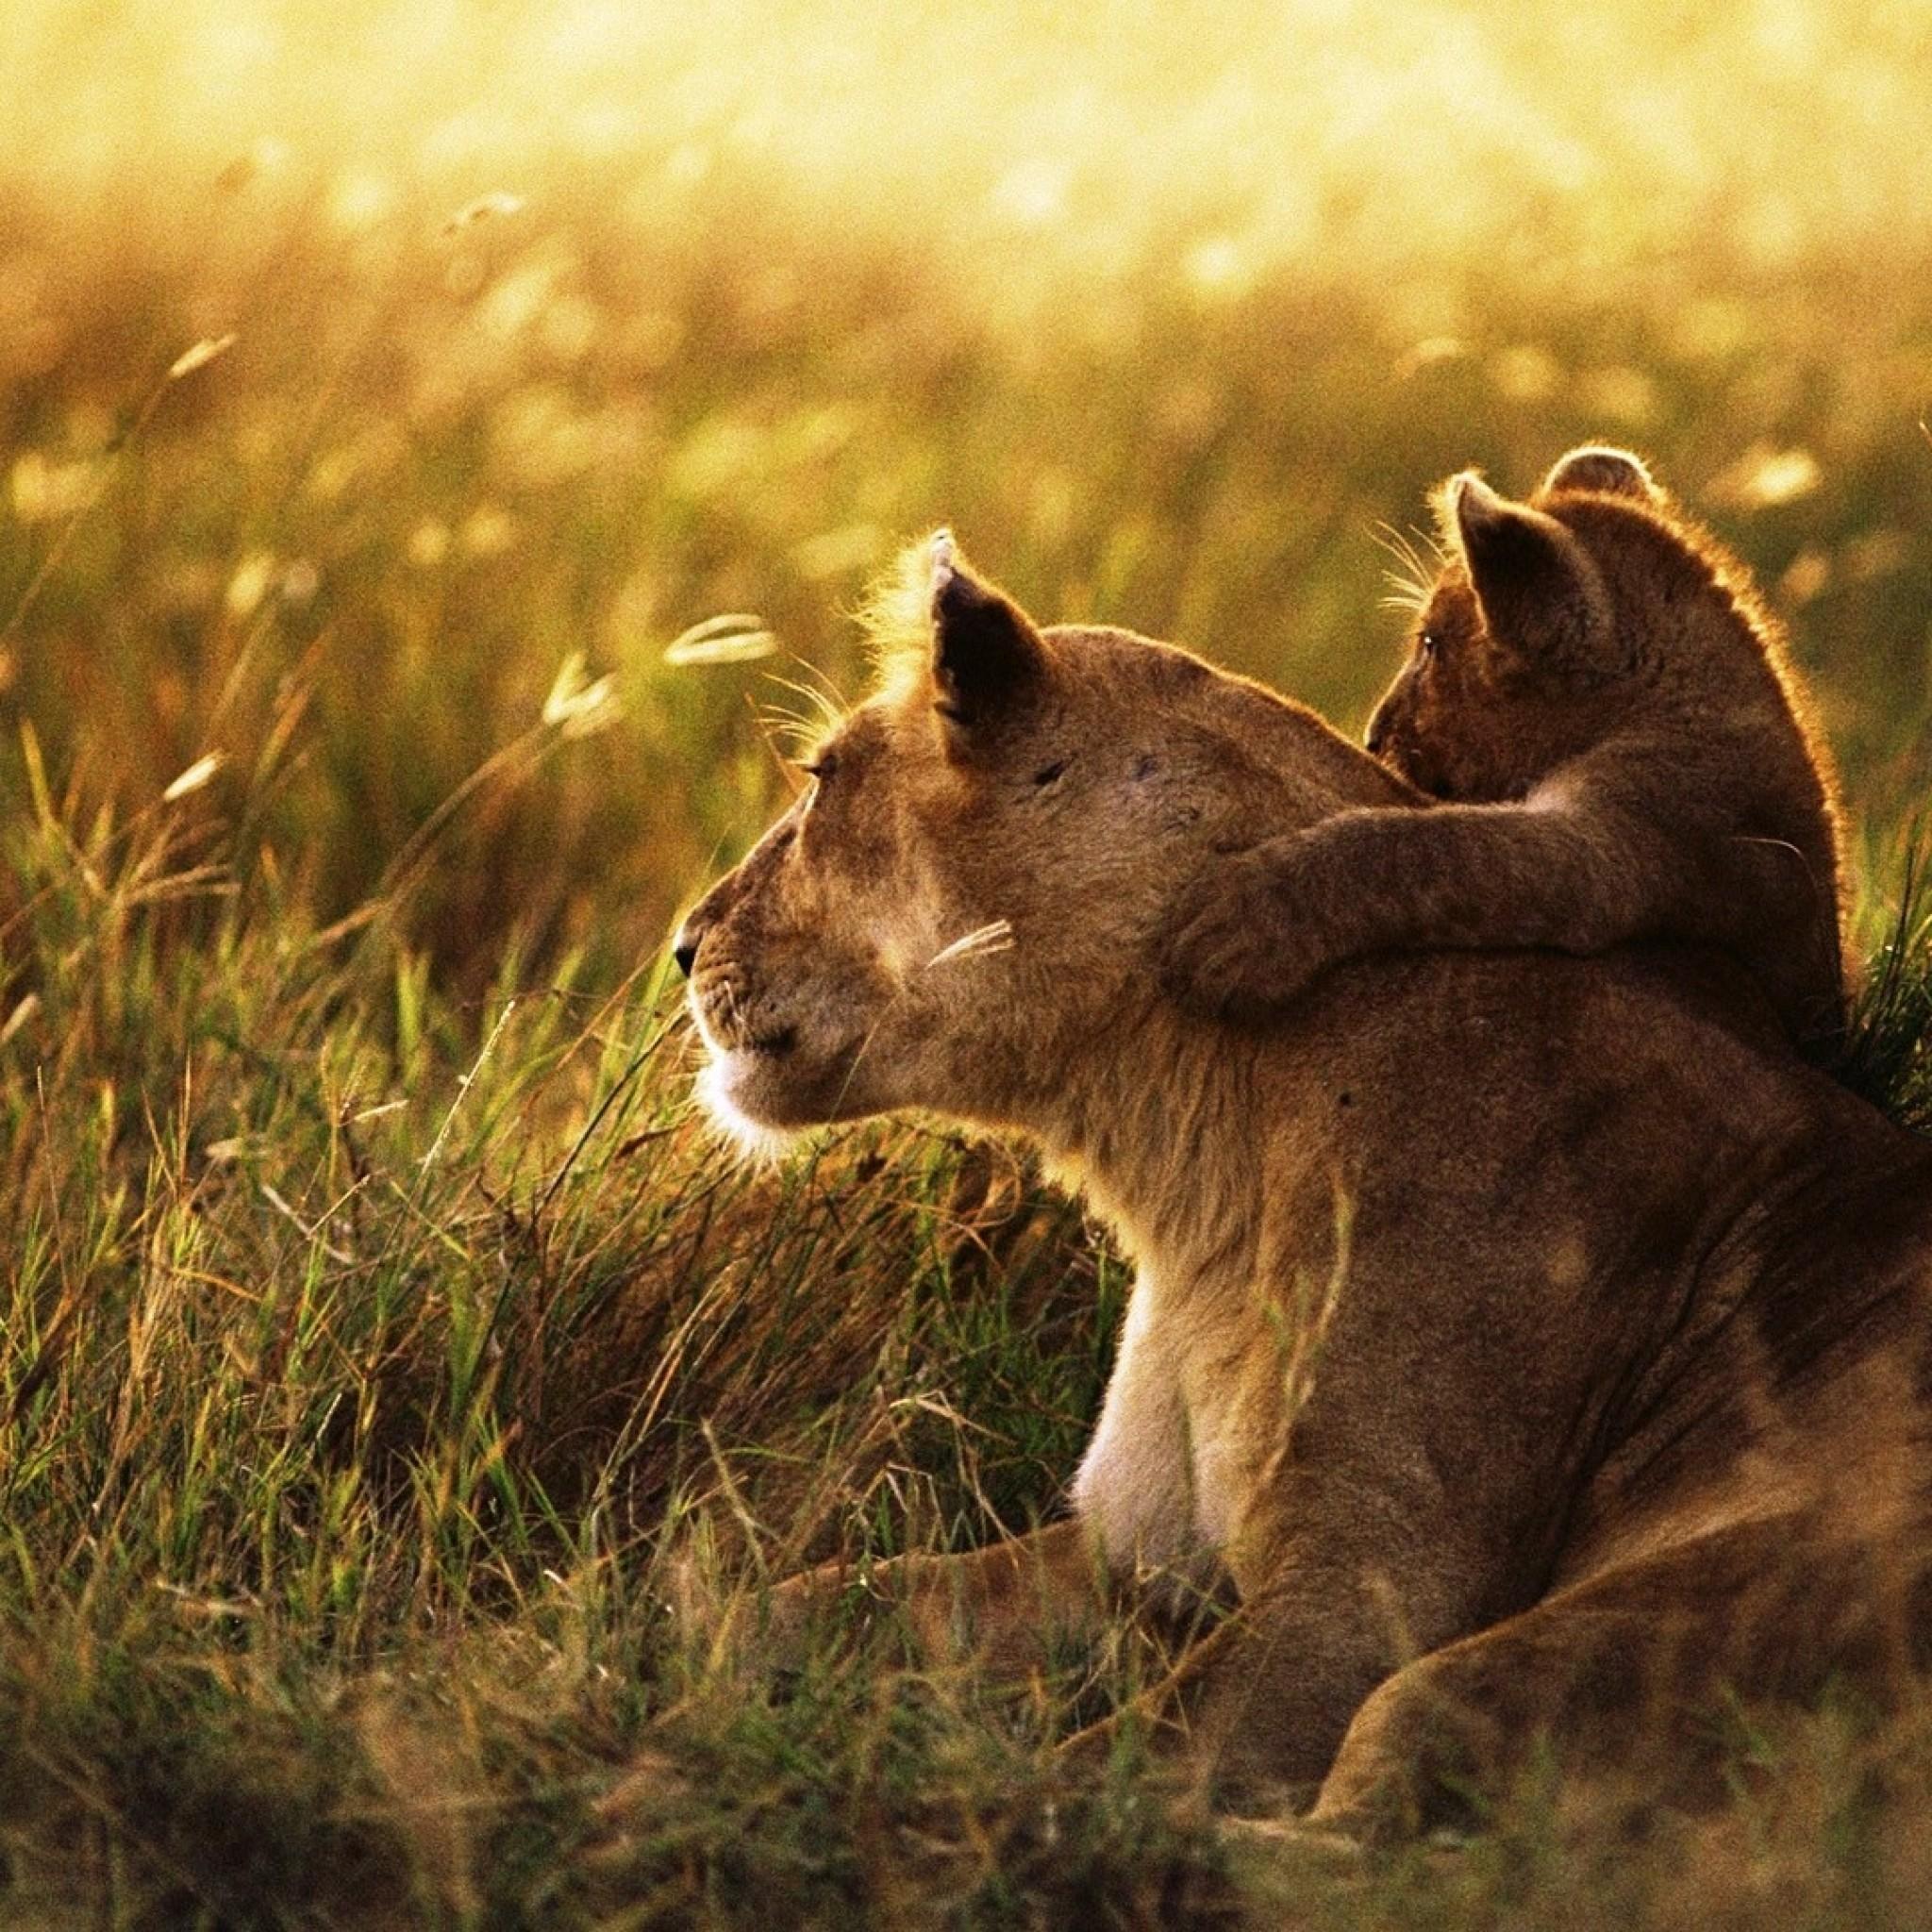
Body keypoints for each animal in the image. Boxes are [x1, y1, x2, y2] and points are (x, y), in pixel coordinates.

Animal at [672, 534, 1932, 1839]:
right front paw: (680, 1643)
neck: (1187, 1152)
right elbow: (827, 1596)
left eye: (820, 777)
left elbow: (1108, 1768)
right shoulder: (1132, 1553)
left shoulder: (1363, 1591)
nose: (681, 944)